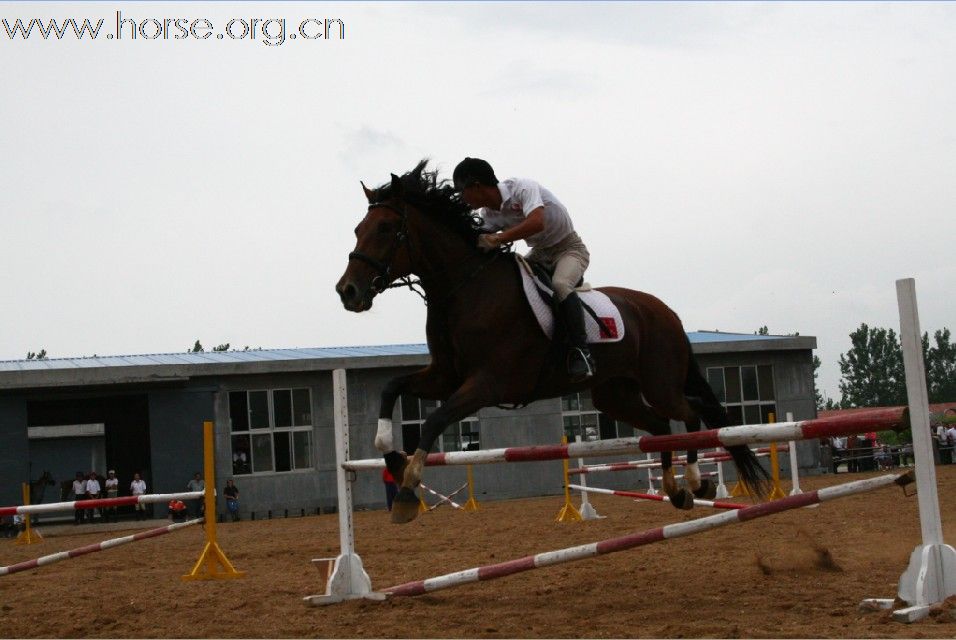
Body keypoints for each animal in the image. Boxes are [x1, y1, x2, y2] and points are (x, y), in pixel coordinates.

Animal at [336, 161, 768, 524]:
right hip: (614, 394)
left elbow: (434, 421)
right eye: (358, 229)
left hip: (659, 382)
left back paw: (696, 481)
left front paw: (407, 490)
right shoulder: (445, 375)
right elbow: (392, 388)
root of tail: (667, 313)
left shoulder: (487, 383)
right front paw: (391, 454)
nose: (347, 291)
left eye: (386, 229)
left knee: (691, 412)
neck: (466, 287)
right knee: (662, 424)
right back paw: (676, 490)